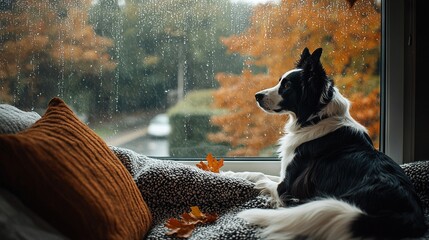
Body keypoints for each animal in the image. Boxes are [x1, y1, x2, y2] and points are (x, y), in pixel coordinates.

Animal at [222, 47, 426, 239]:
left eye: (286, 85)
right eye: (280, 81)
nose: (257, 96)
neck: (317, 118)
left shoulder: (286, 186)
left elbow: (261, 176)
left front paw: (249, 182)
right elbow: (260, 173)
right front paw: (230, 174)